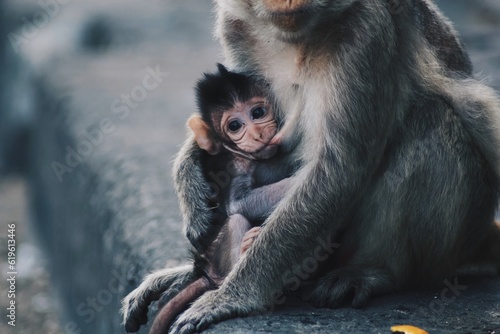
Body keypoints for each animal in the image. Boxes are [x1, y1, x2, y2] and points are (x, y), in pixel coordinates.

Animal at [148, 64, 292, 332]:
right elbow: (236, 203)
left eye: (258, 112)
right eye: (234, 126)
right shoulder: (235, 164)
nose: (257, 133)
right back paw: (244, 250)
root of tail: (204, 269)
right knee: (236, 221)